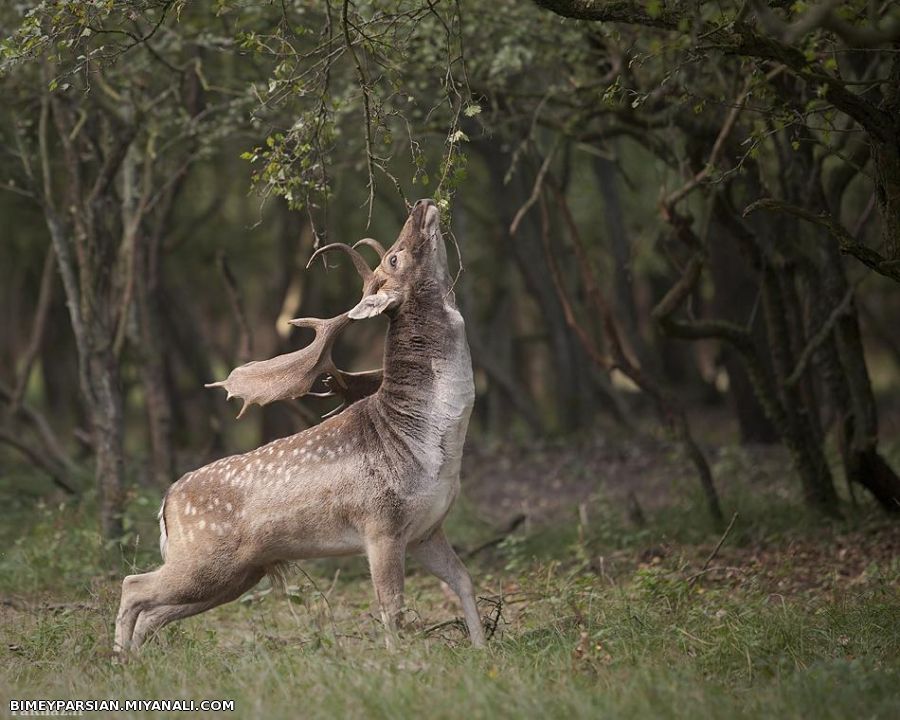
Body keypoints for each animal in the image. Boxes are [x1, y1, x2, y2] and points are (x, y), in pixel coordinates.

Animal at [117, 198, 488, 652]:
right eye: (393, 257)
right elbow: (391, 608)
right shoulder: (380, 525)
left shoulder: (426, 529)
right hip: (202, 560)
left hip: (235, 574)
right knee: (132, 586)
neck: (429, 445)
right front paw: (398, 660)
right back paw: (117, 659)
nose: (420, 204)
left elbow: (465, 582)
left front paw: (483, 649)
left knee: (153, 612)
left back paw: (136, 659)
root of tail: (166, 501)